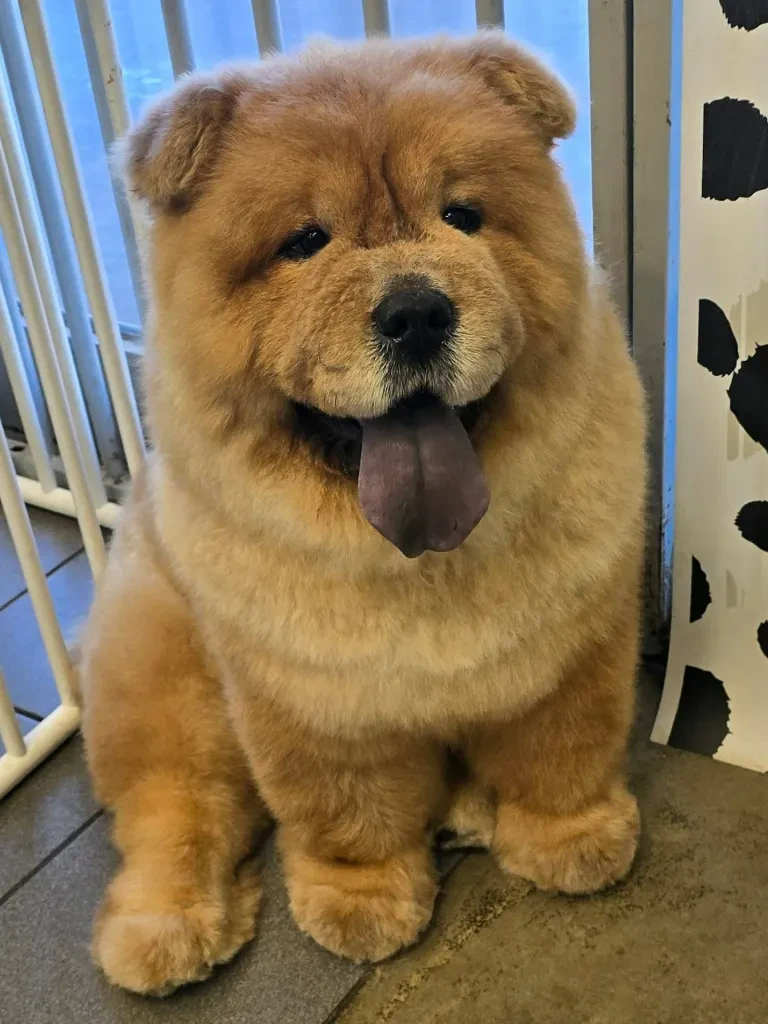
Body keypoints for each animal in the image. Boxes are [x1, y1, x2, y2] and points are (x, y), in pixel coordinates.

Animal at [79, 33, 646, 996]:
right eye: (306, 242)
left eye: (462, 216)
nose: (416, 311)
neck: (420, 559)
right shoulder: (315, 702)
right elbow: (348, 813)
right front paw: (363, 903)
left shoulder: (570, 652)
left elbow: (562, 754)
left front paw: (571, 842)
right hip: (172, 683)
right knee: (174, 808)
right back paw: (167, 928)